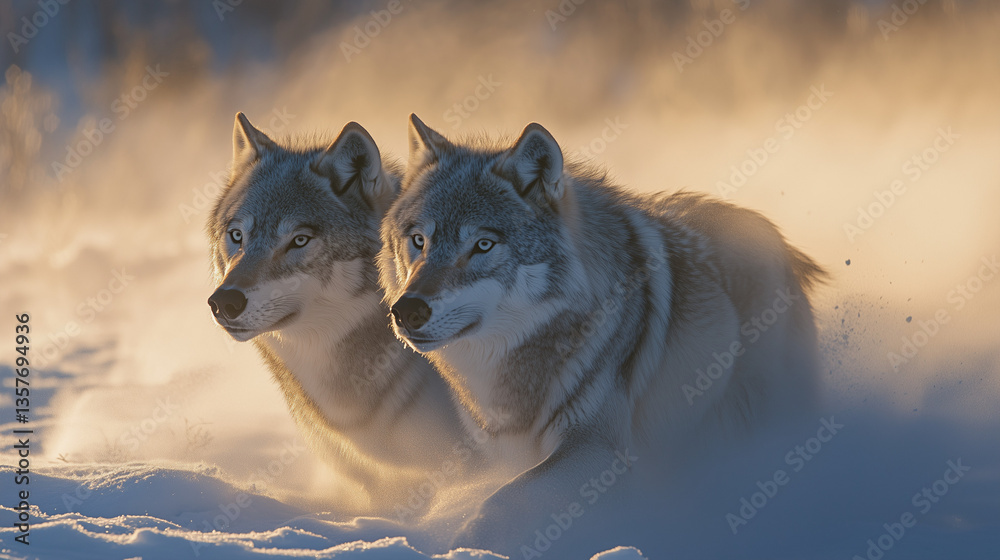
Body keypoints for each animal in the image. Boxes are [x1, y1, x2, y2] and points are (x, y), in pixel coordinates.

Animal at [378, 114, 826, 551]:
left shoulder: (602, 451)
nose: (408, 310)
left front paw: (468, 542)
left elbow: (505, 498)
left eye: (483, 245)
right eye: (419, 240)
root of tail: (780, 241)